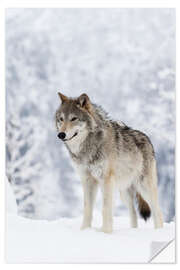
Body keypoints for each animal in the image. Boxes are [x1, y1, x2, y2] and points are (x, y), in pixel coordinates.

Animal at [55, 92, 164, 232]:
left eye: (74, 118)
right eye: (61, 119)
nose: (61, 134)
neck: (88, 147)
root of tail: (148, 139)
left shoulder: (106, 180)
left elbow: (105, 208)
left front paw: (106, 232)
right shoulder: (87, 180)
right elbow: (87, 208)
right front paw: (85, 230)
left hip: (144, 187)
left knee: (158, 211)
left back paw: (158, 231)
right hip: (124, 192)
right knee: (133, 213)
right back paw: (133, 230)